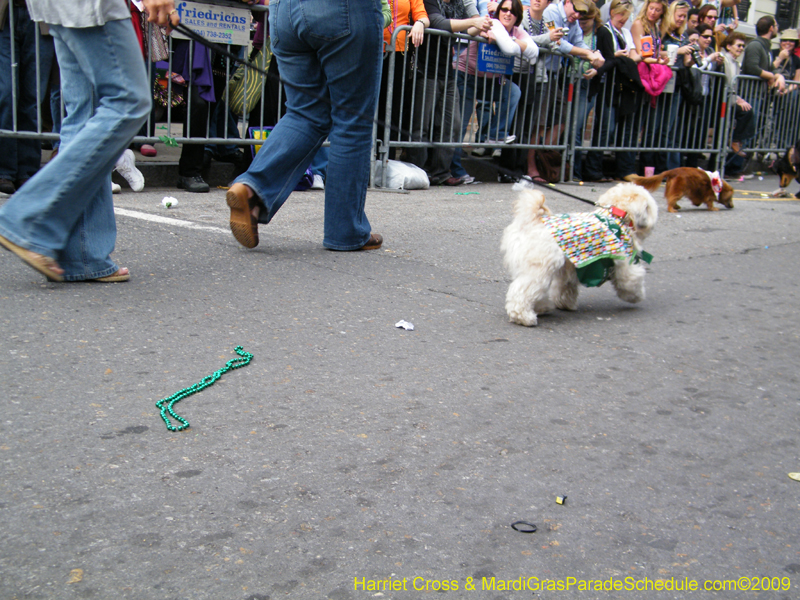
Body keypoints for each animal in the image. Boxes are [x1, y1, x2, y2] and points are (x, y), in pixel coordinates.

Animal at [504, 182, 660, 326]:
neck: (618, 216)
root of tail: (531, 221)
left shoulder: (569, 268)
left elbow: (565, 287)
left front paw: (565, 303)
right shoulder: (625, 263)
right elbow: (631, 281)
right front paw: (636, 296)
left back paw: (541, 307)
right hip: (539, 269)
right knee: (522, 292)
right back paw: (523, 317)